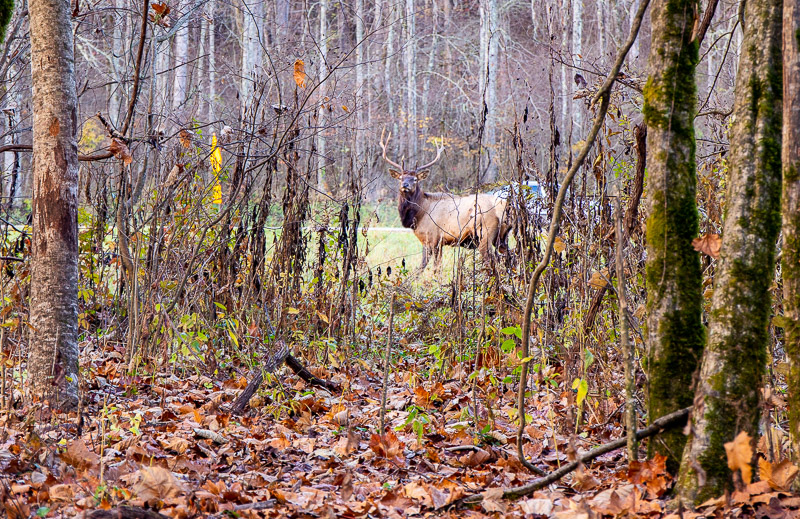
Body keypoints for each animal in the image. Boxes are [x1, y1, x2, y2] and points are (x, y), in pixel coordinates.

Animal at [380, 129, 506, 276]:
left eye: (415, 179)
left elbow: (430, 268)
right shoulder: (437, 243)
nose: (405, 185)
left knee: (493, 262)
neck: (419, 214)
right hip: (501, 238)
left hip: (485, 234)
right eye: (400, 177)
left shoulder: (433, 238)